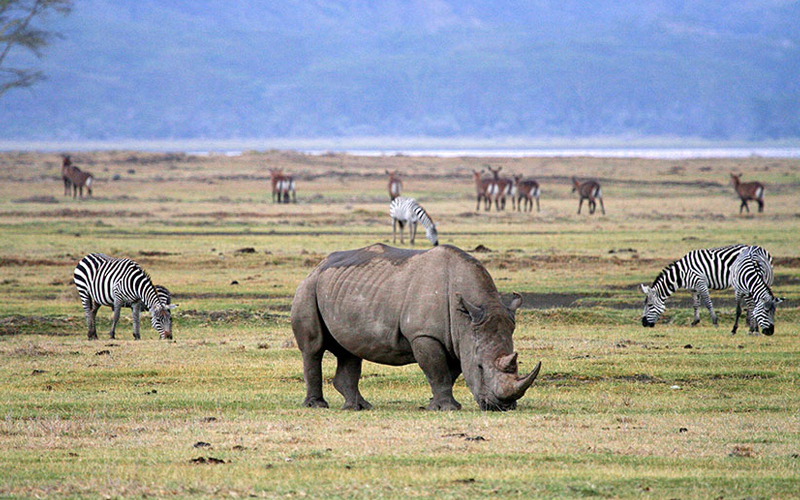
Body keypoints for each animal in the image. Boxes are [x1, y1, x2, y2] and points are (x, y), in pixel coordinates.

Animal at [636, 245, 772, 328]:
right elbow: (696, 304)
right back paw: (749, 322)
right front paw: (695, 321)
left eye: (649, 305)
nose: (643, 323)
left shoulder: (701, 283)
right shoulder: (693, 288)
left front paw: (715, 321)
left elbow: (707, 302)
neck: (681, 273)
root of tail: (762, 250)